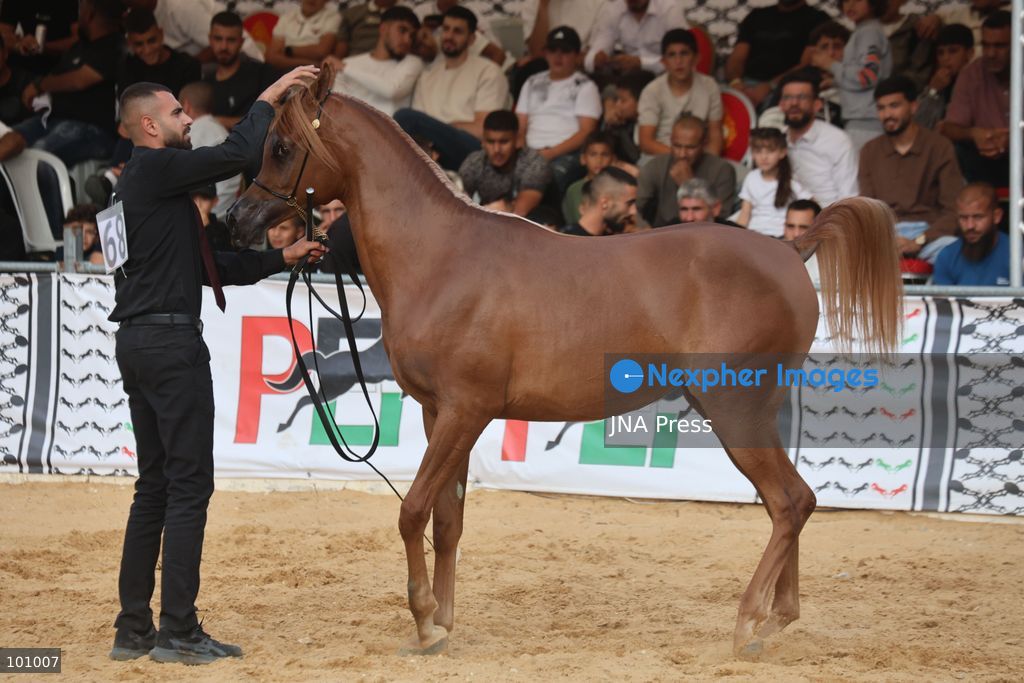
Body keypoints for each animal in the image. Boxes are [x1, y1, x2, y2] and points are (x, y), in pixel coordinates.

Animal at [228, 66, 903, 657]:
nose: (237, 220)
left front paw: (422, 620)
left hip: (734, 412)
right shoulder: (437, 414)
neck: (443, 257)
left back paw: (748, 624)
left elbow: (412, 510)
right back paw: (776, 620)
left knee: (788, 502)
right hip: (753, 415)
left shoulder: (465, 413)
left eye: (282, 146)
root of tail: (791, 249)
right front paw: (442, 625)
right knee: (793, 502)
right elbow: (447, 520)